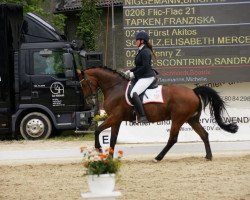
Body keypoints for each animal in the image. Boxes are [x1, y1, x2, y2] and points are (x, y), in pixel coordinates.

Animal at [78, 67, 238, 161]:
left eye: (84, 84)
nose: (90, 103)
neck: (115, 87)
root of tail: (193, 91)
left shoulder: (114, 117)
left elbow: (98, 130)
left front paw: (99, 149)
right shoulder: (116, 120)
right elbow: (112, 139)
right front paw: (109, 158)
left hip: (178, 119)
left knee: (172, 138)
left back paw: (158, 157)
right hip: (191, 119)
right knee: (204, 134)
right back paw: (208, 156)